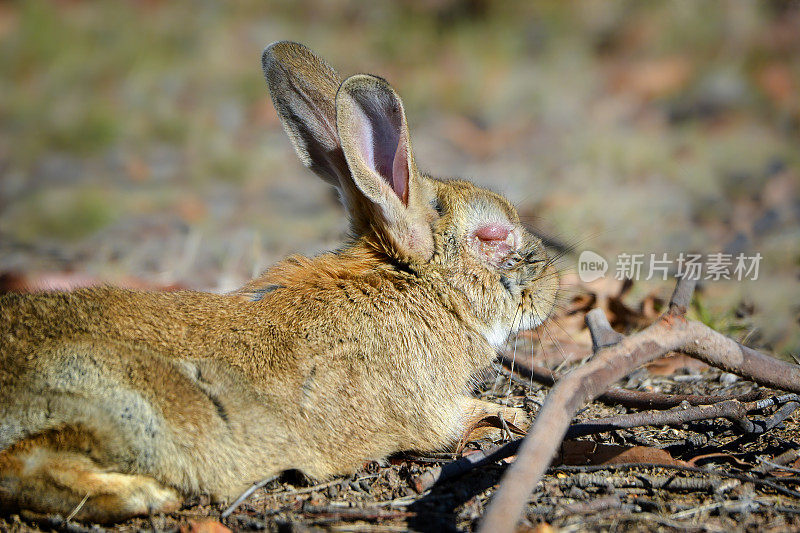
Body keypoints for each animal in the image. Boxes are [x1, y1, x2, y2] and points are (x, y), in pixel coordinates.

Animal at [0, 42, 560, 524]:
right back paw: (146, 496)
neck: (411, 284)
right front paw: (511, 414)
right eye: (493, 237)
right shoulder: (433, 409)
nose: (552, 286)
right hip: (123, 402)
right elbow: (463, 419)